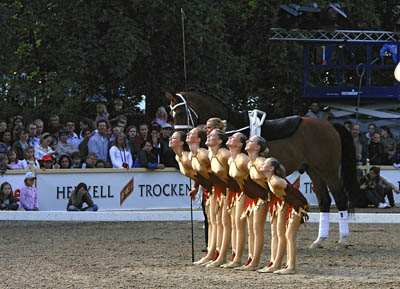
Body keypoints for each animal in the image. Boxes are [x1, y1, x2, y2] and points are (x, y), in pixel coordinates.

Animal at [166, 90, 360, 248]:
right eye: (170, 113)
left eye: (180, 112)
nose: (181, 139)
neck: (229, 129)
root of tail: (330, 125)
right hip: (314, 170)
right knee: (324, 200)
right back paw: (319, 241)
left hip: (328, 170)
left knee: (340, 198)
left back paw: (343, 240)